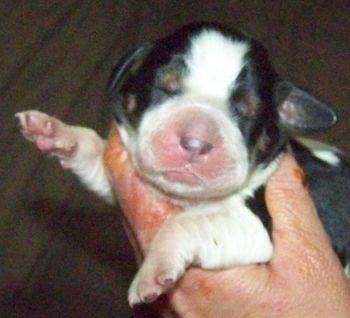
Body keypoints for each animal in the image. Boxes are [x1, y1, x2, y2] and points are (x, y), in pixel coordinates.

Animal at [16, 22, 350, 306]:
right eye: (166, 87)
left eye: (247, 112)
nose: (195, 143)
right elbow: (96, 156)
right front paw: (58, 133)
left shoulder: (257, 226)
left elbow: (185, 224)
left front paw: (152, 270)